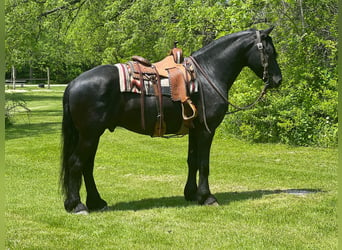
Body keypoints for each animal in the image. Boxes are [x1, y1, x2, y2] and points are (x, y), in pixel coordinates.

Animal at [60, 28, 282, 214]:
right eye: (270, 52)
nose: (278, 80)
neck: (207, 74)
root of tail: (73, 83)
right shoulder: (206, 130)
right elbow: (204, 163)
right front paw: (207, 197)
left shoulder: (194, 129)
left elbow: (192, 161)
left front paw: (191, 194)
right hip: (90, 134)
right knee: (76, 163)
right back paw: (77, 205)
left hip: (92, 135)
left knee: (87, 166)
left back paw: (96, 202)